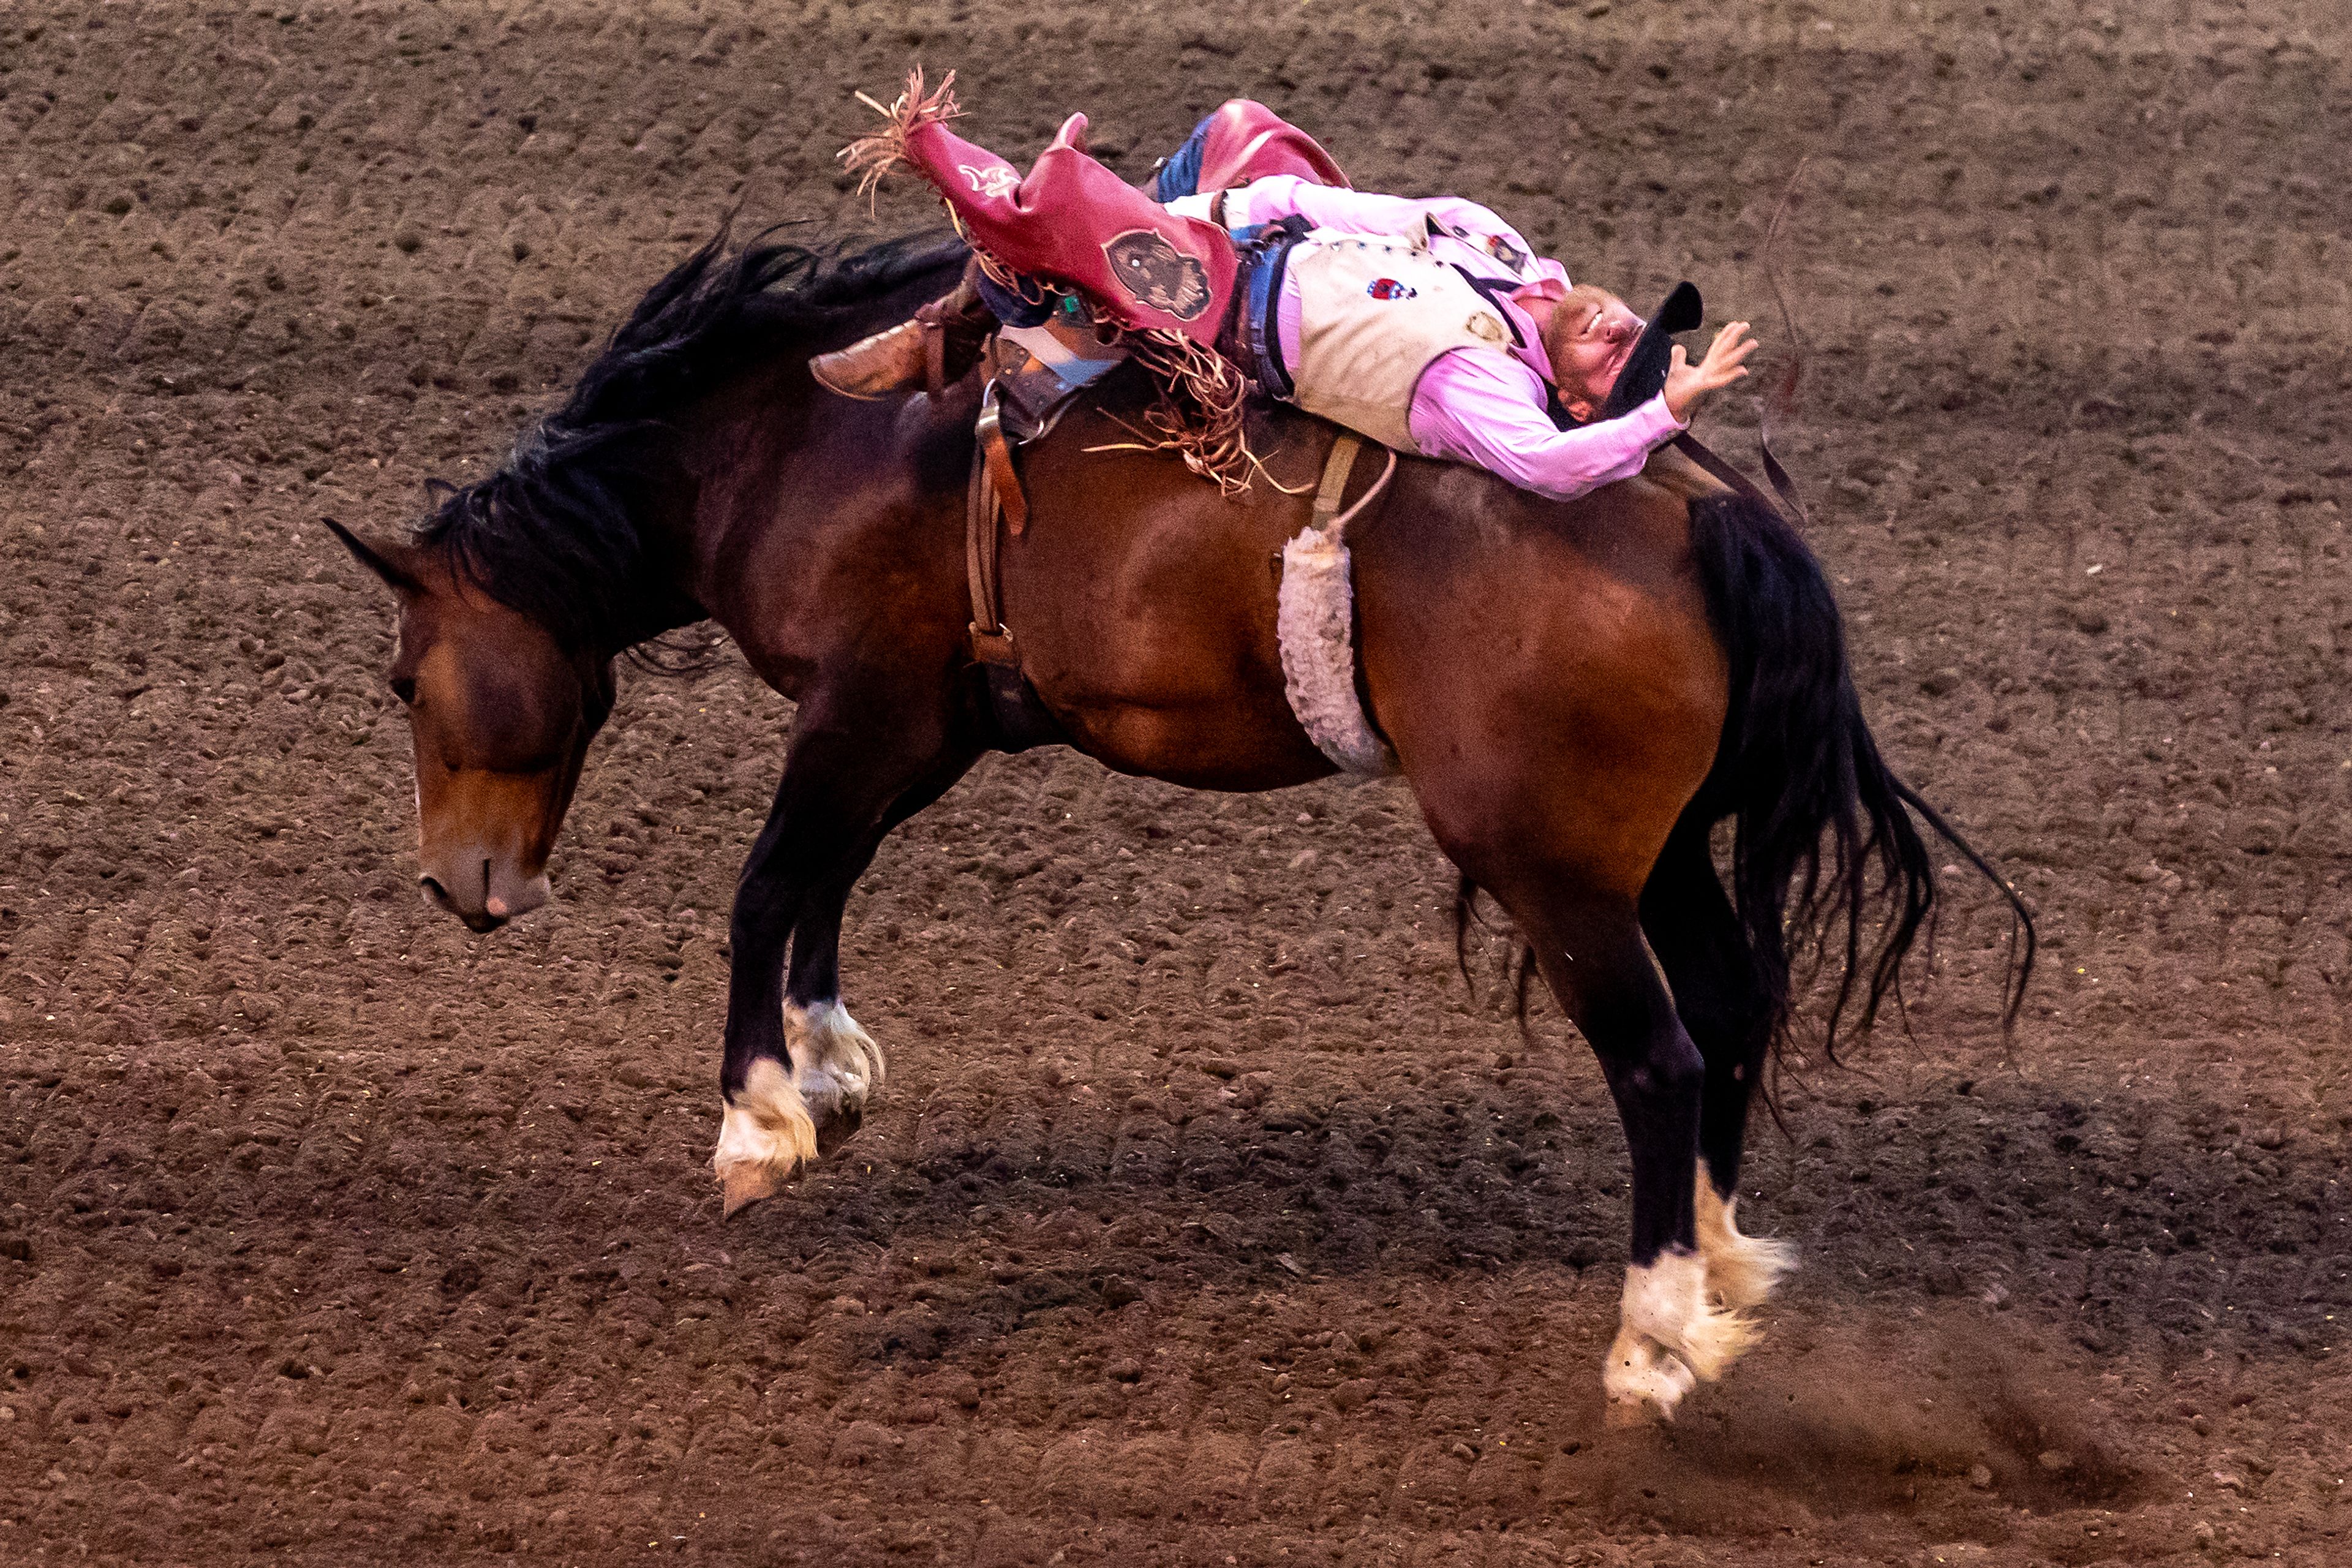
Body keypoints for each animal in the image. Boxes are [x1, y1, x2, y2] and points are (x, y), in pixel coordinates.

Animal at [331, 230, 2041, 1420]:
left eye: (405, 674)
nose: (460, 884)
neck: (798, 443)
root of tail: (1699, 500)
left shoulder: (862, 704)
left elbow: (766, 883)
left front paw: (759, 1125)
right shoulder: (929, 723)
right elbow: (829, 877)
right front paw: (828, 1063)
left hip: (1552, 869)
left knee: (1661, 1056)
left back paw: (1654, 1337)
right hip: (1663, 847)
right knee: (1735, 1006)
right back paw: (1722, 1254)